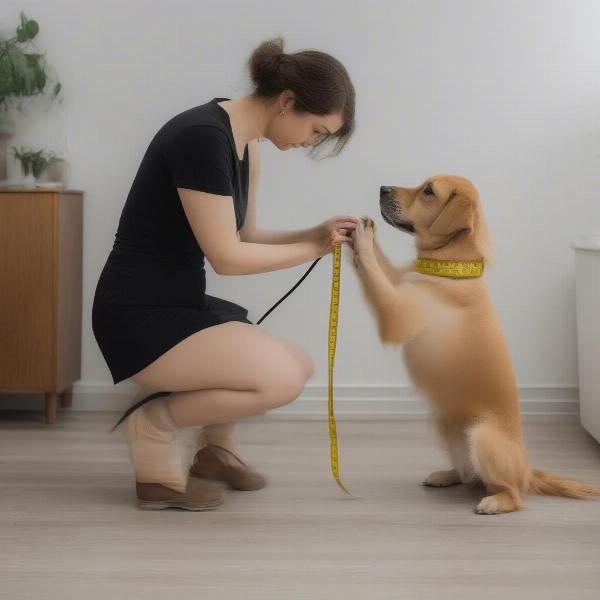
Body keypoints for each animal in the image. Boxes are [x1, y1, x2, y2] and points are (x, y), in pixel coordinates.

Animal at [352, 175, 600, 516]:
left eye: (428, 191)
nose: (382, 189)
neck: (450, 264)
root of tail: (527, 472)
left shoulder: (394, 317)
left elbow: (374, 276)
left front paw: (361, 240)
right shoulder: (401, 279)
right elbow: (383, 266)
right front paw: (366, 231)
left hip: (483, 437)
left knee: (511, 494)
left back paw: (494, 503)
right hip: (445, 427)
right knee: (469, 474)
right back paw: (445, 475)